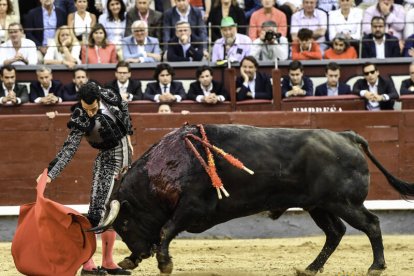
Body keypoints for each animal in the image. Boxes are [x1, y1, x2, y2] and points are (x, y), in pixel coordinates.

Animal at [93, 124, 414, 274]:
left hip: (344, 203)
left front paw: (164, 264)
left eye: (124, 224)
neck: (168, 167)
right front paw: (130, 261)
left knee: (371, 224)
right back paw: (310, 268)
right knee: (335, 232)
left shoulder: (192, 207)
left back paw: (376, 266)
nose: (140, 253)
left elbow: (165, 230)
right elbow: (163, 231)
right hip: (320, 206)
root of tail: (347, 136)